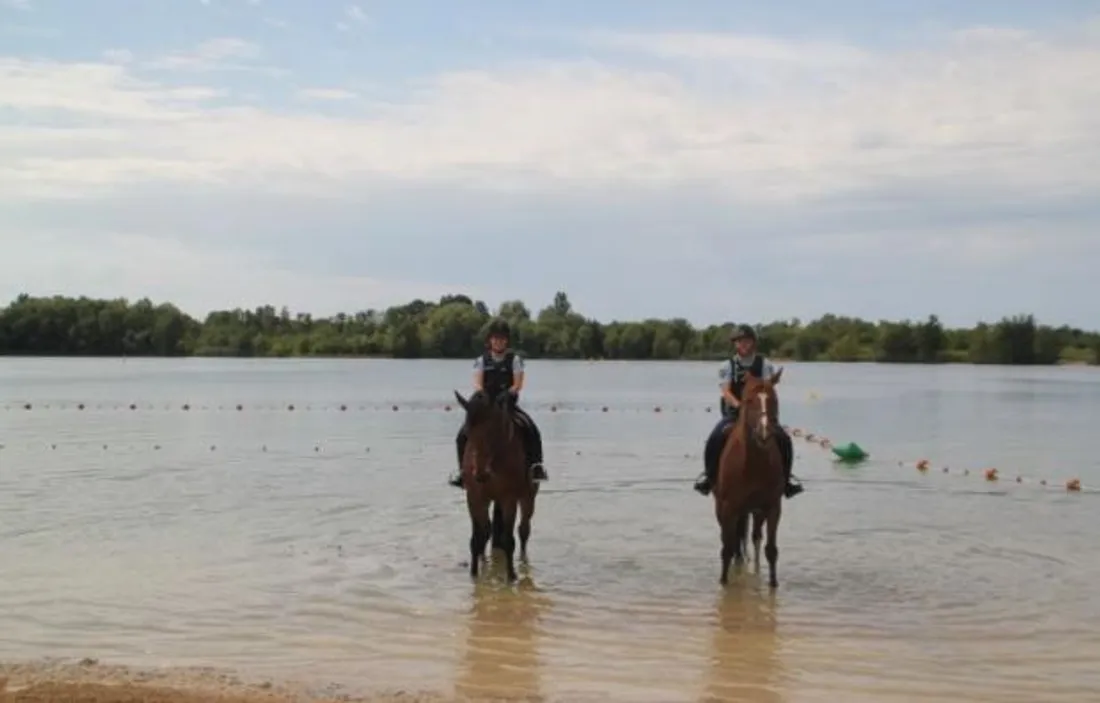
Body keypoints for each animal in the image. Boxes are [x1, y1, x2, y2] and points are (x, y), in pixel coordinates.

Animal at [453, 389, 537, 583]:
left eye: (492, 431)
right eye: (467, 432)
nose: (480, 473)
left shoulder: (509, 499)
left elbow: (509, 539)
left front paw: (512, 576)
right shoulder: (473, 498)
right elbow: (477, 537)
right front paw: (474, 574)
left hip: (528, 497)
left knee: (524, 530)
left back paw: (523, 561)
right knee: (487, 530)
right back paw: (484, 560)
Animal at [713, 368, 786, 588]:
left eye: (774, 399)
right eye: (749, 400)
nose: (764, 433)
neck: (753, 463)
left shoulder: (772, 507)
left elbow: (771, 549)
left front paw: (773, 584)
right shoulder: (727, 507)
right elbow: (726, 547)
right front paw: (723, 582)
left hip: (755, 511)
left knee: (754, 537)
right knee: (731, 539)